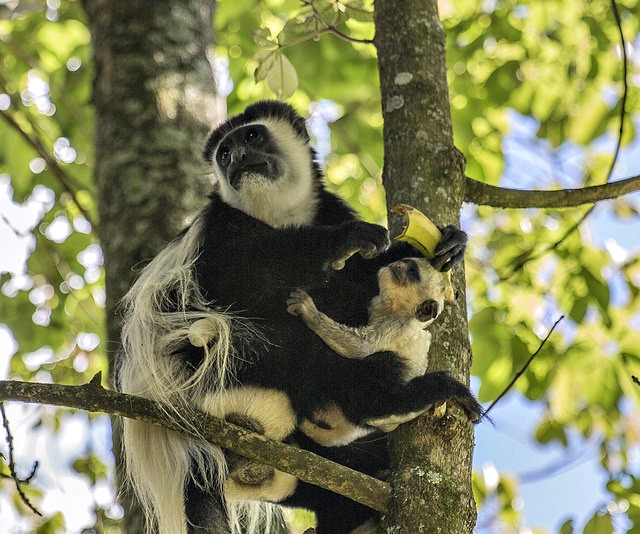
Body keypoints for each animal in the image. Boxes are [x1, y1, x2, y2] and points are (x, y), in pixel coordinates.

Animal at [117, 100, 477, 534]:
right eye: (224, 153)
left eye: (252, 136)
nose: (238, 157)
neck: (280, 215)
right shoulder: (218, 226)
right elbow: (233, 276)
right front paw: (344, 240)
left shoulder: (328, 207)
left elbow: (370, 275)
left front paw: (445, 244)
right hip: (215, 363)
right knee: (309, 355)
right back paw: (405, 398)